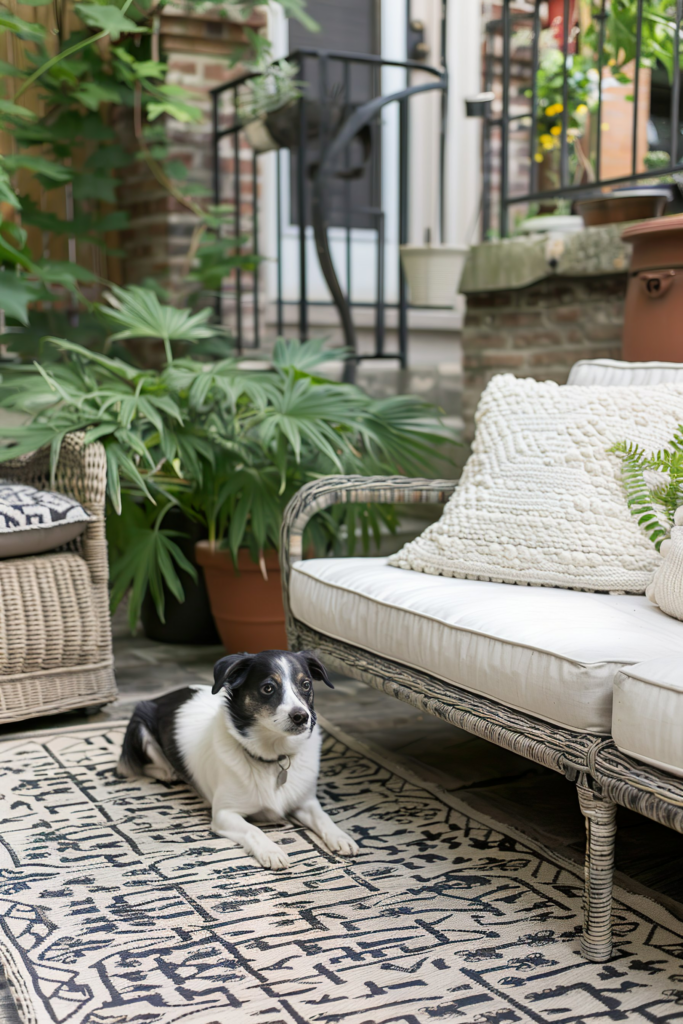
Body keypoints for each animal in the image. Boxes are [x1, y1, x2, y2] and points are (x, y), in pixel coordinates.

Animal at [116, 651, 358, 868]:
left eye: (306, 685)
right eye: (268, 688)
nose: (301, 716)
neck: (273, 756)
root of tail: (160, 697)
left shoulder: (305, 802)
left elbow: (323, 817)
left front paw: (341, 837)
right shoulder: (224, 814)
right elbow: (254, 829)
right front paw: (271, 850)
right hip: (140, 723)